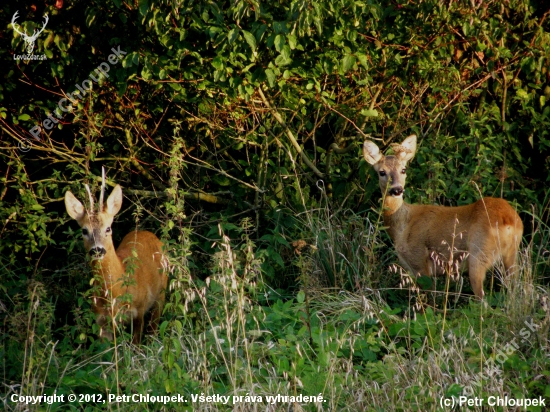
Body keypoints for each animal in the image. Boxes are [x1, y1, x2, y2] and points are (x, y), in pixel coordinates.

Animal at [64, 175, 168, 342]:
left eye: (108, 228)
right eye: (84, 230)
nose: (97, 249)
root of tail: (148, 233)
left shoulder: (139, 311)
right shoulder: (101, 321)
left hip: (161, 293)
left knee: (154, 328)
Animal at [364, 135, 524, 300]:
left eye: (403, 169)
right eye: (382, 172)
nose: (397, 189)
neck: (402, 225)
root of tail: (508, 220)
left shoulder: (419, 259)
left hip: (479, 253)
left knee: (482, 297)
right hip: (511, 255)